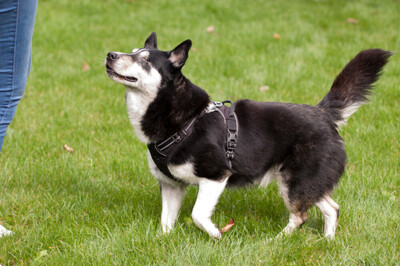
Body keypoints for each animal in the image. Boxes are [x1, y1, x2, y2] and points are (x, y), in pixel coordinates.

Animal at [105, 32, 390, 240]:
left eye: (144, 60)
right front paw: (163, 243)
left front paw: (216, 234)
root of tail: (324, 114)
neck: (184, 120)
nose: (110, 54)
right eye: (131, 52)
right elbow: (166, 222)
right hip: (307, 183)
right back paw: (327, 241)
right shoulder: (171, 185)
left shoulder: (216, 176)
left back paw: (277, 241)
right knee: (332, 208)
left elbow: (198, 215)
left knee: (301, 217)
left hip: (295, 182)